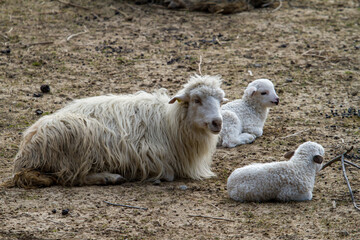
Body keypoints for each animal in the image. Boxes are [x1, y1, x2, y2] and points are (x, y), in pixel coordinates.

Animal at [2, 75, 226, 188]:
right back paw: (109, 177)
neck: (169, 122)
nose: (217, 122)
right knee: (71, 177)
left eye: (220, 101)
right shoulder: (150, 156)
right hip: (77, 139)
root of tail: (23, 156)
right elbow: (168, 174)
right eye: (196, 100)